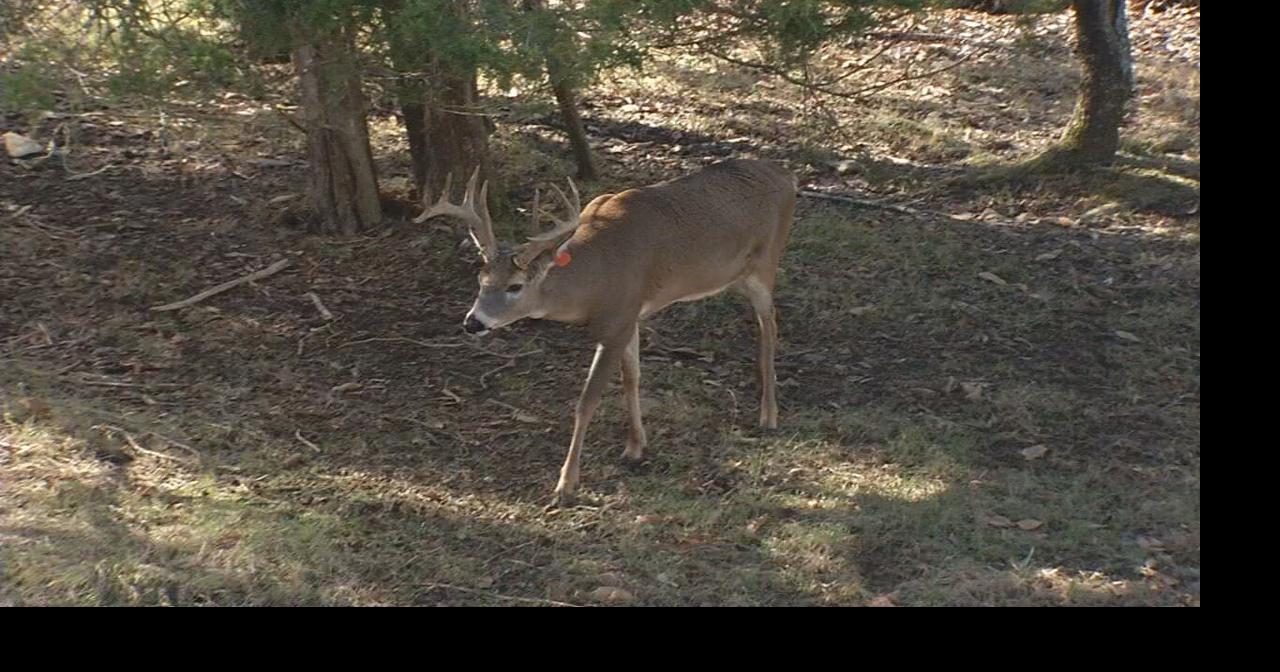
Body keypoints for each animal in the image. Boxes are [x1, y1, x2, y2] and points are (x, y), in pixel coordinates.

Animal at [416, 159, 797, 507]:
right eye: (481, 279)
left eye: (515, 286)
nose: (473, 322)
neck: (595, 278)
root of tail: (785, 175)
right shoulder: (630, 317)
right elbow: (632, 377)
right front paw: (636, 446)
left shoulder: (616, 321)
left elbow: (587, 401)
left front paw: (566, 484)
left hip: (765, 263)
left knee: (770, 324)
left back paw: (769, 415)